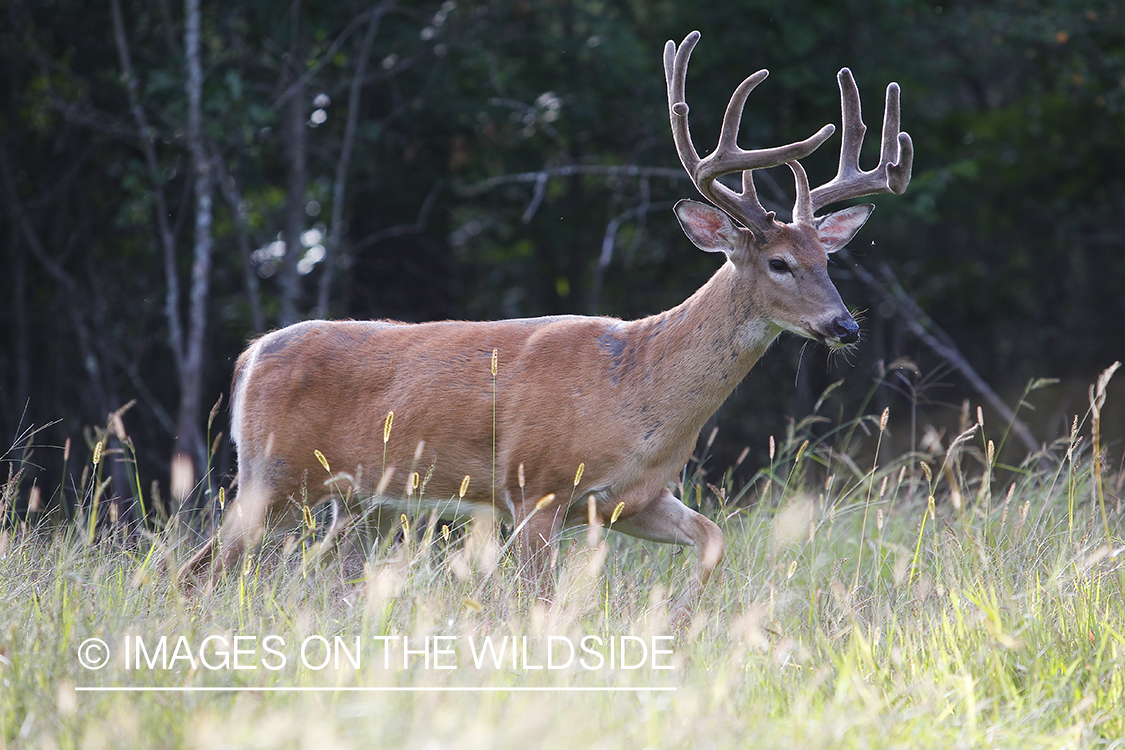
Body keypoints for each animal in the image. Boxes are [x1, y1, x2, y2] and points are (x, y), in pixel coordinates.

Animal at [180, 30, 909, 616]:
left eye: (829, 259)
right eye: (781, 263)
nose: (844, 326)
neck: (638, 391)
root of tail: (248, 357)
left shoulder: (634, 498)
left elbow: (713, 540)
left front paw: (682, 619)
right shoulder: (532, 486)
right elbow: (539, 599)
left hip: (363, 503)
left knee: (316, 573)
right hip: (273, 475)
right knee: (197, 568)